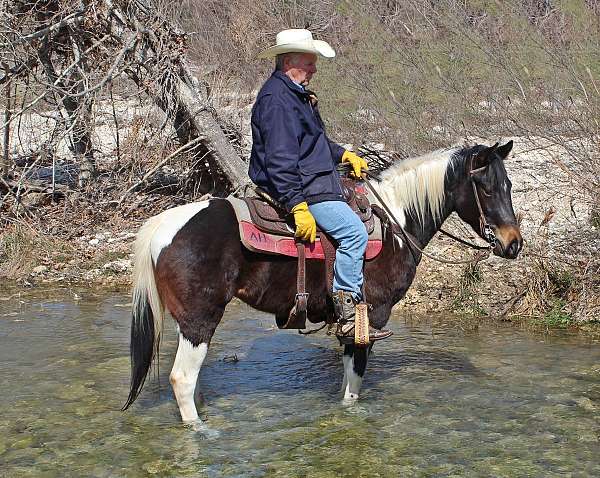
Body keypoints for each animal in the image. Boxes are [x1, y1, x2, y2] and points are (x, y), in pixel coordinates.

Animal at [124, 141, 524, 422]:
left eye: (509, 185)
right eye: (487, 189)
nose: (513, 243)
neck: (396, 222)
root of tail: (161, 225)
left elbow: (347, 380)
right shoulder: (371, 316)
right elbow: (354, 384)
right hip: (200, 321)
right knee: (182, 380)